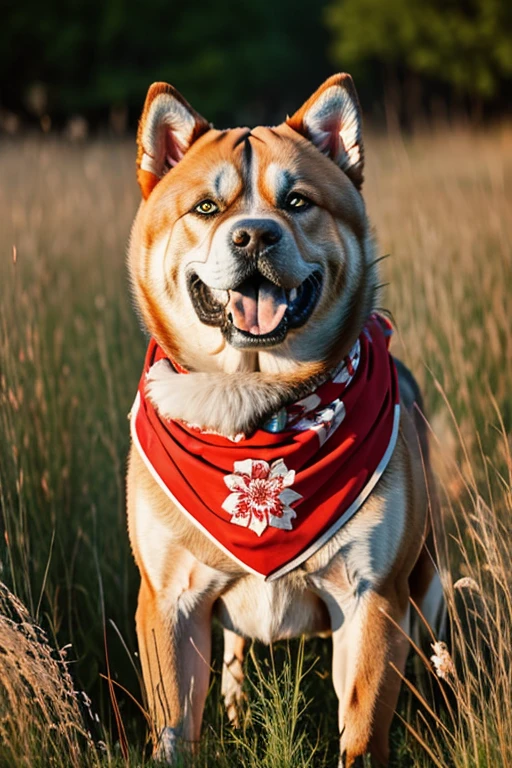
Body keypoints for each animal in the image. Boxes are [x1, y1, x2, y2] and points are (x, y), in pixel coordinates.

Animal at [126, 73, 442, 768]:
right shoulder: (168, 601)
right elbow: (175, 728)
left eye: (297, 202)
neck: (258, 406)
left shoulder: (372, 598)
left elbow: (362, 732)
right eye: (207, 209)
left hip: (426, 581)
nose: (254, 236)